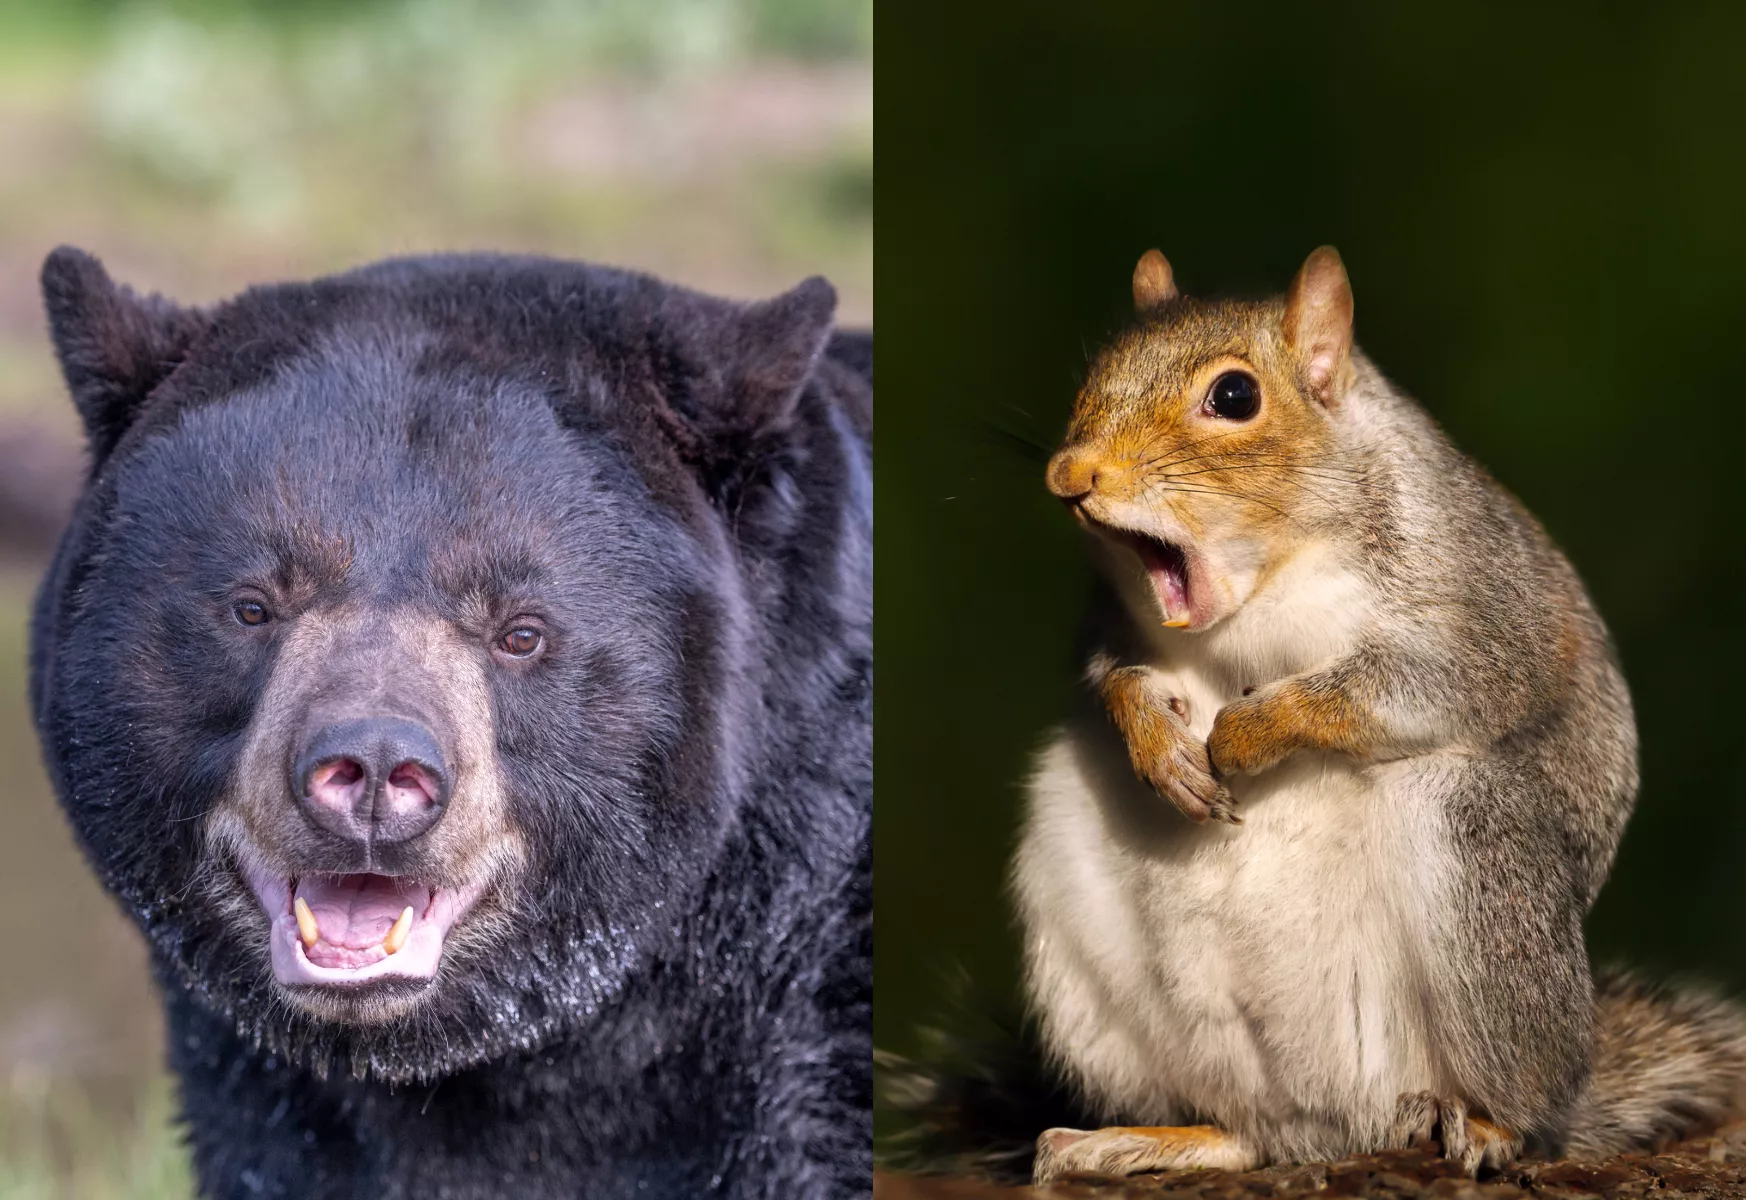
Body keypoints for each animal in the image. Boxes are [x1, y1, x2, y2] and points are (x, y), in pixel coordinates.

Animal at [1007, 247, 1746, 1182]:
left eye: (1235, 396)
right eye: (1096, 370)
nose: (1070, 474)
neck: (1264, 583)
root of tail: (1340, 1119)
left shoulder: (1480, 613)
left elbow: (1401, 688)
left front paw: (1245, 733)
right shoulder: (1109, 619)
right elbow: (1109, 675)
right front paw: (1157, 741)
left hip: (1475, 855)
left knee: (1529, 1107)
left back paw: (1490, 1125)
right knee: (1249, 1133)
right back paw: (1145, 1139)